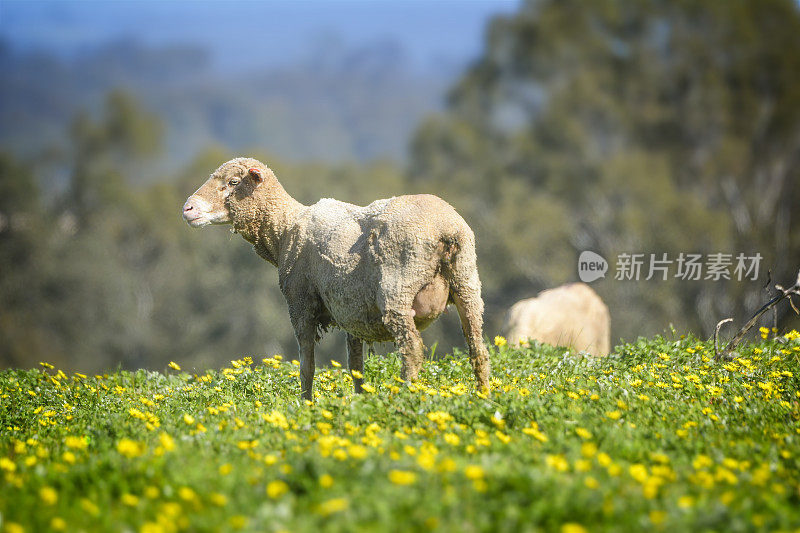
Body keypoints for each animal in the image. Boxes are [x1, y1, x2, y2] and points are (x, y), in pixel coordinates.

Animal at [184, 156, 490, 396]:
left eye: (234, 182)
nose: (187, 208)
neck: (284, 229)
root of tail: (446, 228)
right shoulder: (352, 312)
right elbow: (355, 365)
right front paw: (360, 401)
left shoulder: (300, 303)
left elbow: (307, 366)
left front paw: (306, 404)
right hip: (467, 282)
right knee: (478, 349)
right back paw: (483, 396)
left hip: (398, 289)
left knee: (412, 351)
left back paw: (405, 397)